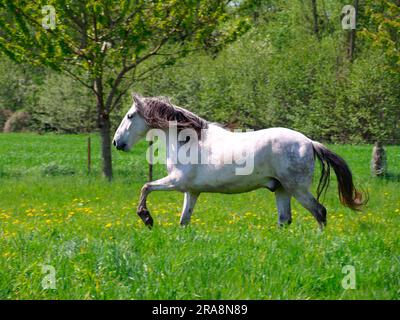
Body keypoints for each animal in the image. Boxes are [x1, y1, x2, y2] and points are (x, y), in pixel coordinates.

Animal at [113, 94, 366, 229]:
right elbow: (184, 220)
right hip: (282, 190)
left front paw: (146, 218)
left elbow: (146, 187)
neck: (187, 140)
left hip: (297, 189)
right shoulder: (191, 191)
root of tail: (310, 142)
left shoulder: (176, 181)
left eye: (129, 116)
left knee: (319, 212)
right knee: (285, 219)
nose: (117, 143)